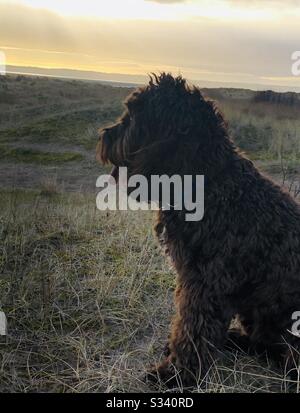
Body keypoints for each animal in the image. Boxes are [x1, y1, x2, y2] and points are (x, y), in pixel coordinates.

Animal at [96, 71, 300, 386]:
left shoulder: (206, 282)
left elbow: (193, 328)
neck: (208, 183)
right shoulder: (191, 277)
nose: (104, 135)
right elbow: (186, 324)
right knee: (262, 343)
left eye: (132, 117)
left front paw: (176, 373)